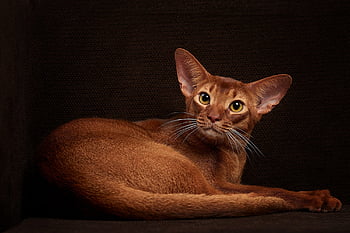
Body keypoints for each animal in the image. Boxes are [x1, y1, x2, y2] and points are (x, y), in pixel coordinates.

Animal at [39, 48, 342, 219]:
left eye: (236, 105)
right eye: (204, 98)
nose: (213, 117)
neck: (232, 152)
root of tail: (75, 179)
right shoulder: (221, 182)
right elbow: (269, 188)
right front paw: (318, 198)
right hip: (185, 170)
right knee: (232, 198)